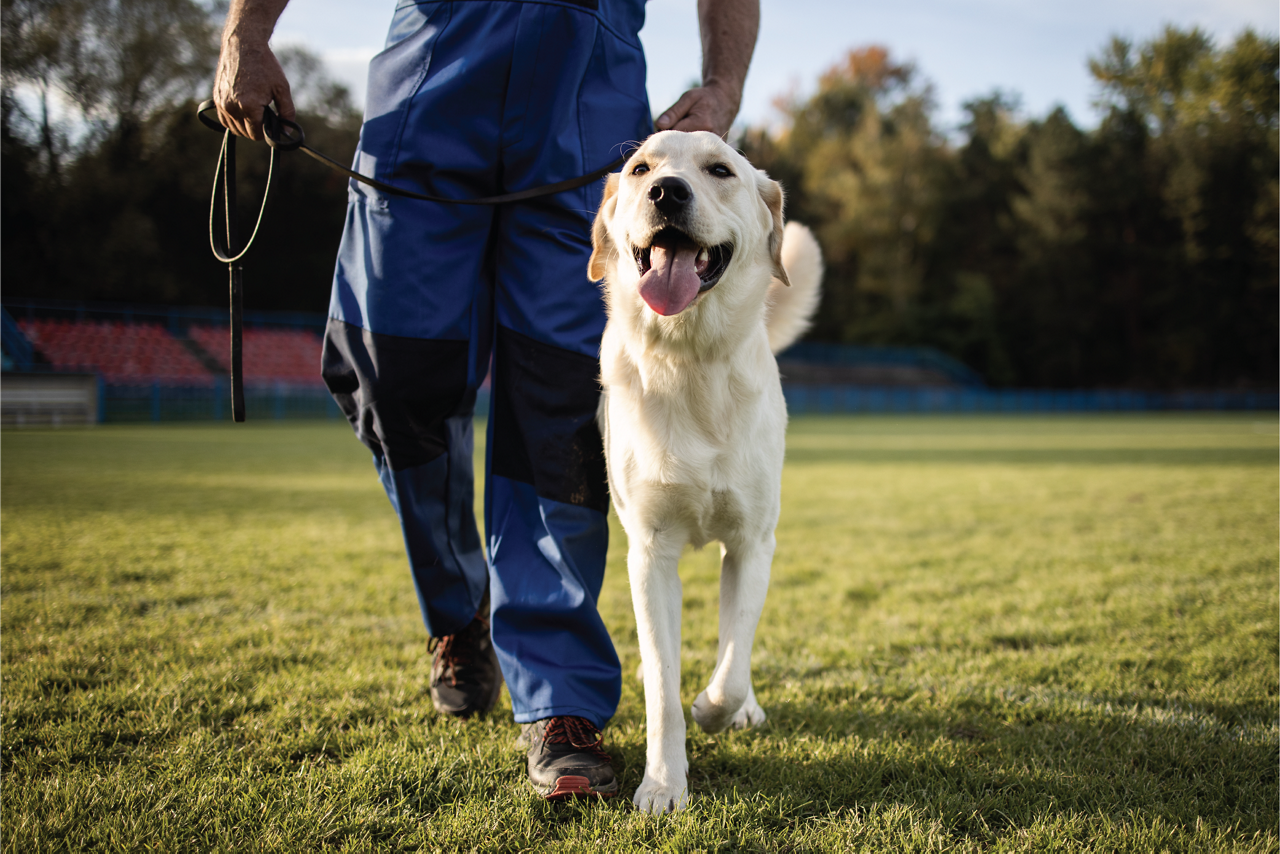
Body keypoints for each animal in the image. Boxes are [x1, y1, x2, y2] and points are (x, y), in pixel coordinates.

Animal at [586, 130, 819, 814]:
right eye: (641, 169)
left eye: (720, 170)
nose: (667, 191)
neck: (689, 360)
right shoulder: (649, 551)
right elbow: (663, 689)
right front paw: (664, 784)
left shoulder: (752, 543)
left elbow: (732, 661)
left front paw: (718, 709)